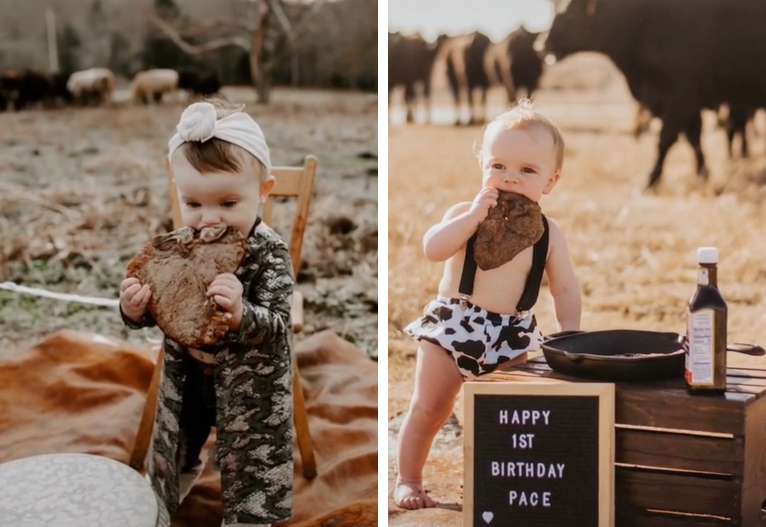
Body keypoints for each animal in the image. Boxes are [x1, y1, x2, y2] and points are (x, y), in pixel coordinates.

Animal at [544, 0, 766, 189]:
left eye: (572, 14)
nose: (544, 44)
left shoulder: (680, 98)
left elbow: (665, 140)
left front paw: (651, 180)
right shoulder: (682, 102)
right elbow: (694, 139)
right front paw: (702, 173)